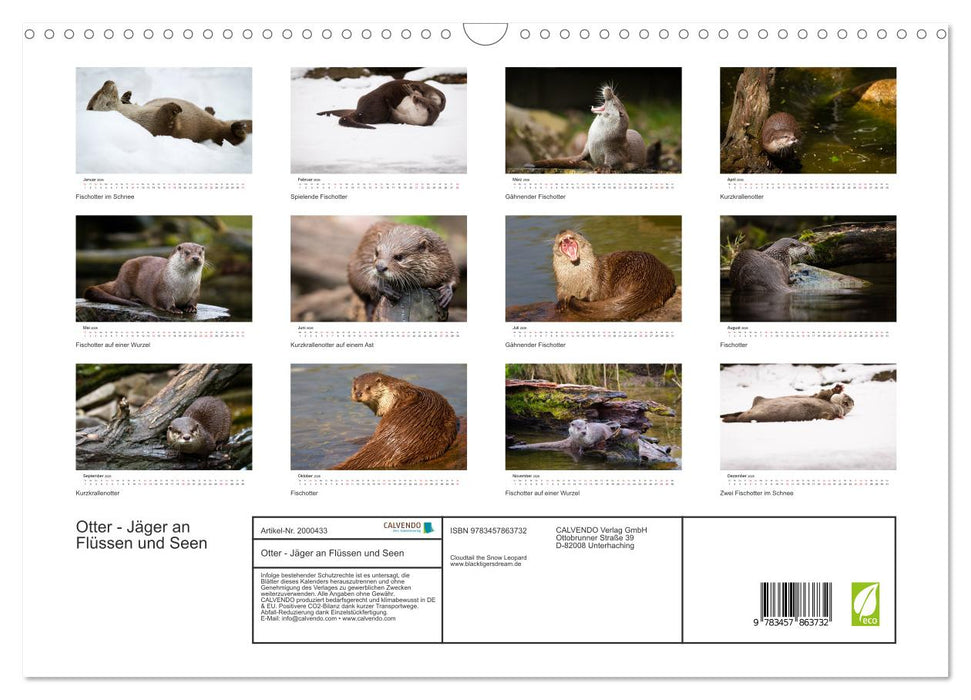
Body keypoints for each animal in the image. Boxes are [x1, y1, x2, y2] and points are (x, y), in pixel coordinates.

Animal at [86, 80, 249, 146]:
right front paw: (173, 107)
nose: (107, 81)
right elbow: (165, 125)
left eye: (100, 88)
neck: (132, 115)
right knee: (232, 138)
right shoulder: (152, 127)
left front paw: (127, 96)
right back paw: (239, 128)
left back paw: (210, 110)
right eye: (99, 93)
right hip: (218, 134)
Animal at [721, 386, 855, 423]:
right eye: (847, 398)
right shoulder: (818, 396)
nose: (851, 401)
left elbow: (827, 415)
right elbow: (822, 394)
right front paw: (837, 389)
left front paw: (838, 415)